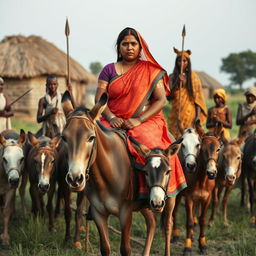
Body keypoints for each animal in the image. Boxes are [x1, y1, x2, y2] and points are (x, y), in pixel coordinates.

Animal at [61, 91, 182, 255]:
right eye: (64, 137)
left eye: (91, 138)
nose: (75, 179)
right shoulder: (99, 213)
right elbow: (105, 248)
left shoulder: (126, 213)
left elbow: (125, 249)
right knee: (151, 223)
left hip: (168, 200)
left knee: (167, 226)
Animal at [182, 123, 222, 255]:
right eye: (202, 149)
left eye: (218, 149)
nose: (211, 173)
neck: (201, 180)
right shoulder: (188, 197)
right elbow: (189, 222)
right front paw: (187, 247)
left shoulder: (206, 198)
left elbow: (202, 220)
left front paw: (202, 244)